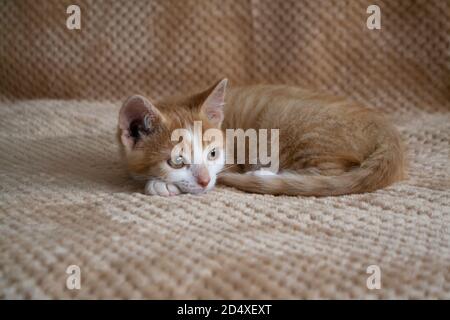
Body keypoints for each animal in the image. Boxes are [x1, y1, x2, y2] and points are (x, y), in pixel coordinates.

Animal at [117, 79, 404, 196]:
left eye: (213, 154)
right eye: (176, 162)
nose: (206, 180)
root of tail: (386, 128)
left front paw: (158, 185)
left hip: (298, 127)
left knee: (329, 173)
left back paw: (263, 174)